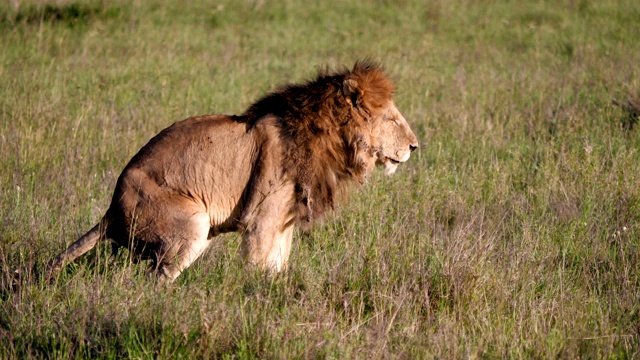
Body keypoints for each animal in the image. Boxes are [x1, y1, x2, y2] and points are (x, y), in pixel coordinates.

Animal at [43, 60, 416, 282]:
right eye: (392, 120)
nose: (415, 147)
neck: (329, 137)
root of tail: (110, 210)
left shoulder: (284, 220)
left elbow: (279, 263)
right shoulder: (262, 218)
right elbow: (256, 266)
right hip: (191, 223)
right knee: (155, 278)